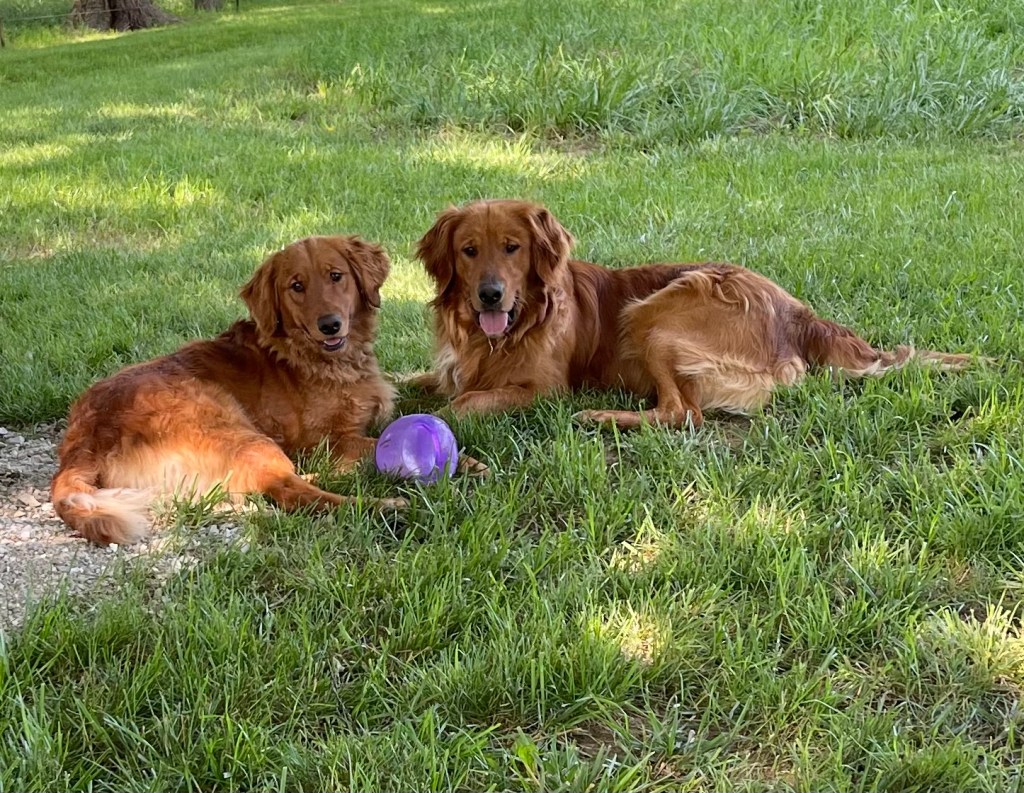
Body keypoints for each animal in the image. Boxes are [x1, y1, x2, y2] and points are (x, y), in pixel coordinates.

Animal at [51, 235, 404, 545]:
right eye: (296, 286)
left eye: (335, 276)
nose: (329, 325)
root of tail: (83, 443)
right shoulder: (325, 441)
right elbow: (377, 444)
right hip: (237, 431)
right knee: (289, 491)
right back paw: (383, 505)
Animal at [412, 198, 974, 426]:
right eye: (468, 251)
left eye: (513, 248)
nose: (490, 295)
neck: (499, 335)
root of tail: (797, 313)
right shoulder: (447, 370)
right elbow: (415, 382)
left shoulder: (544, 389)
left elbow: (464, 404)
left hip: (652, 316)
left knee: (682, 413)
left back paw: (602, 416)